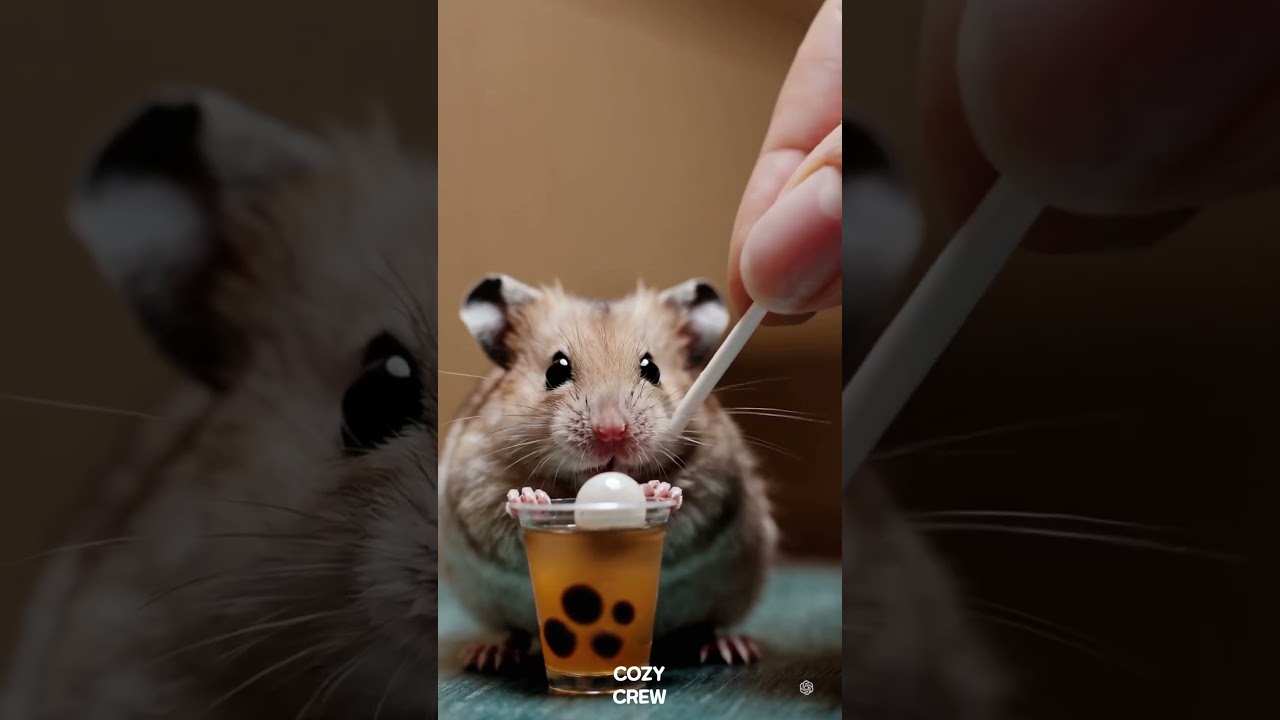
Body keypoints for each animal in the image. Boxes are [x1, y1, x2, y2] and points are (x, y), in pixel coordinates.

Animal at [439, 276, 779, 668]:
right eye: (555, 370)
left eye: (652, 369)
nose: (612, 432)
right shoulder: (478, 486)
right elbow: (506, 514)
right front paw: (531, 497)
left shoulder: (715, 483)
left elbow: (685, 507)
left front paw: (657, 491)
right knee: (512, 633)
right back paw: (488, 655)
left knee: (705, 627)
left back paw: (730, 648)